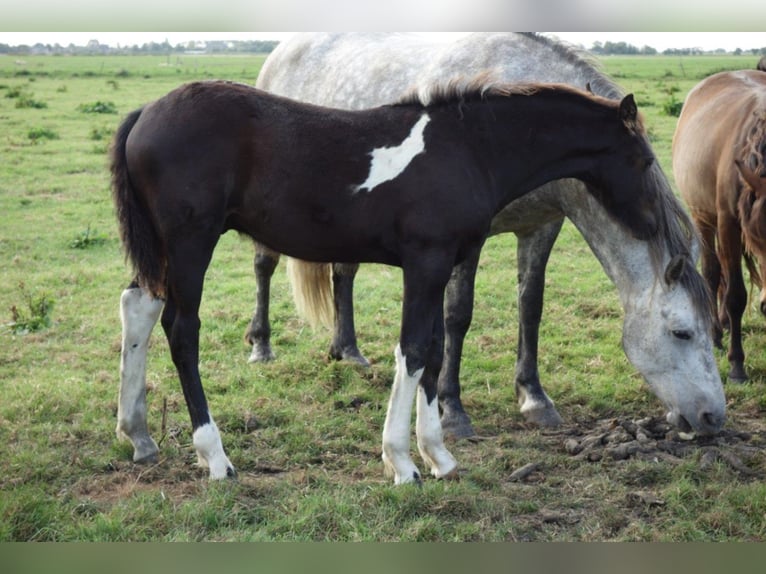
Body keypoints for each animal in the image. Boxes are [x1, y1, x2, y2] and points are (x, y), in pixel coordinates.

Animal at [676, 70, 766, 384]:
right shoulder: (728, 223)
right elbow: (735, 295)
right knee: (713, 273)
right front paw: (737, 364)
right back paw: (716, 332)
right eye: (759, 237)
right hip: (703, 217)